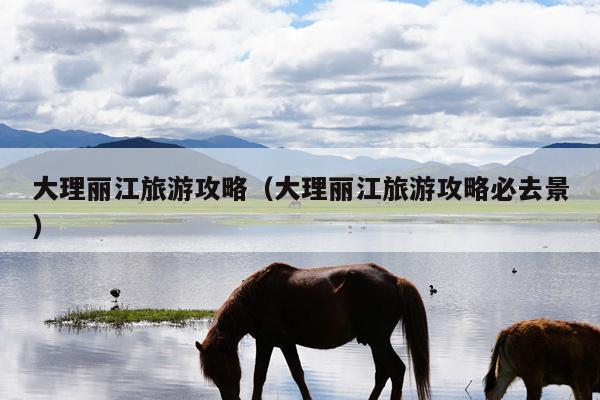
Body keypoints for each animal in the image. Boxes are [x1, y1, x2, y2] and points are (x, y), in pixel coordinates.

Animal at [197, 262, 432, 400]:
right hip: (375, 342)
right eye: (212, 374)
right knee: (383, 374)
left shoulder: (268, 342)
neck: (257, 297)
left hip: (378, 341)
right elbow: (298, 375)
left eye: (223, 368)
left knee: (396, 370)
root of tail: (395, 280)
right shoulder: (284, 343)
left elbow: (260, 377)